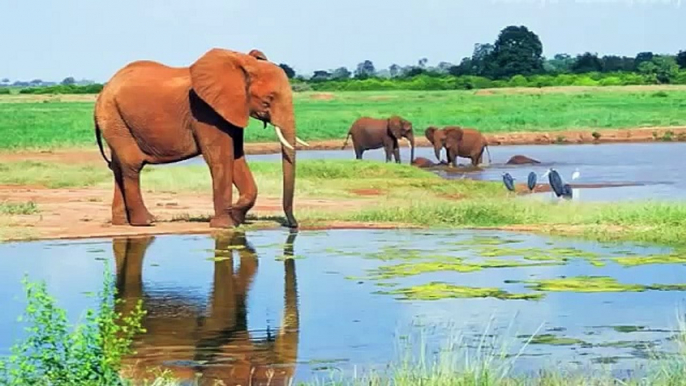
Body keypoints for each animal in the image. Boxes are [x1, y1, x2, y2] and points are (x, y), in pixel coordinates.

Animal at [94, 47, 310, 229]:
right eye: (268, 100)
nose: (293, 225)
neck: (241, 64)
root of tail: (104, 90)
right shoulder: (205, 111)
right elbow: (221, 158)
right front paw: (225, 225)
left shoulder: (230, 109)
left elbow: (236, 157)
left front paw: (236, 217)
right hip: (112, 116)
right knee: (132, 163)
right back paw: (146, 222)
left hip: (115, 118)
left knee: (118, 165)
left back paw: (121, 223)